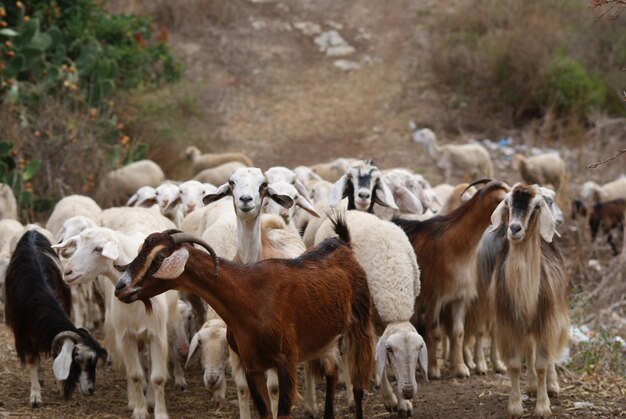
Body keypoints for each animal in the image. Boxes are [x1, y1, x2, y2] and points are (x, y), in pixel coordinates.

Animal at [3, 231, 107, 408]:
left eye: (94, 360)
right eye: (78, 359)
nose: (91, 390)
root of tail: (31, 231)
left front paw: (59, 384)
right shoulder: (24, 335)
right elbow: (32, 360)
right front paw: (35, 395)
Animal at [114, 220, 372, 419]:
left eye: (160, 257)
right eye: (140, 251)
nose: (120, 287)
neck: (250, 296)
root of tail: (342, 244)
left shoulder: (286, 362)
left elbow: (282, 413)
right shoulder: (252, 366)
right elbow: (265, 412)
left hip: (360, 323)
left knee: (359, 385)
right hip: (325, 341)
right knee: (332, 373)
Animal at [314, 212, 426, 418]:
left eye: (419, 348)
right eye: (390, 350)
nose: (408, 391)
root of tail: (347, 211)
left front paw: (404, 403)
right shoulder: (369, 320)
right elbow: (375, 354)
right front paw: (390, 400)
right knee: (345, 353)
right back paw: (351, 398)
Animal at [392, 179, 510, 378]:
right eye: (505, 202)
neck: (455, 244)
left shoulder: (459, 297)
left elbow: (458, 332)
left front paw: (461, 368)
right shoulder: (434, 297)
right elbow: (434, 331)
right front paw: (433, 369)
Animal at [490, 185, 568, 418]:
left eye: (536, 207)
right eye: (507, 203)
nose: (515, 229)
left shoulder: (547, 321)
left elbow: (543, 363)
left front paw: (543, 407)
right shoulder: (509, 325)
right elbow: (516, 364)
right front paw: (515, 406)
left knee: (547, 356)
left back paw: (552, 386)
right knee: (530, 351)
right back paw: (532, 385)